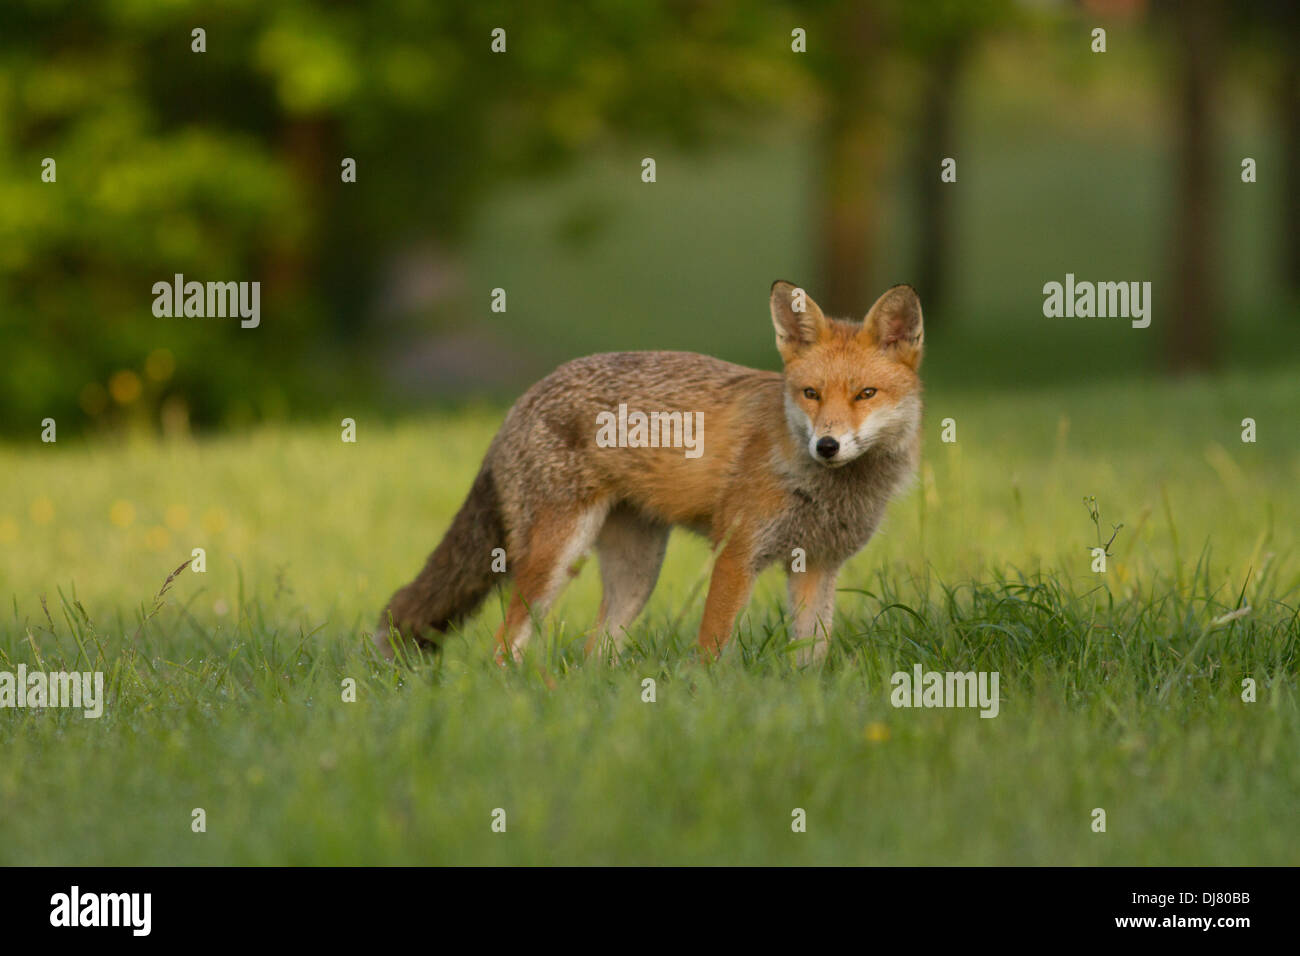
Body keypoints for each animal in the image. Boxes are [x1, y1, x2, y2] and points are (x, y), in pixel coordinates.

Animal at [377, 280, 925, 660]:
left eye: (865, 394)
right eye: (811, 393)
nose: (826, 446)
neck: (828, 490)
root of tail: (523, 397)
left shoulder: (817, 564)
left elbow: (810, 657)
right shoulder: (736, 553)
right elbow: (712, 649)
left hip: (637, 574)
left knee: (593, 652)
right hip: (554, 560)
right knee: (502, 645)